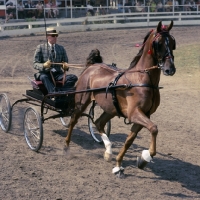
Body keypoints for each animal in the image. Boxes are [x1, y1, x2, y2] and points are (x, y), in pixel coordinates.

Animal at [65, 20, 175, 178]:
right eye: (159, 43)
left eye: (172, 43)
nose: (170, 69)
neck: (141, 79)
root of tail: (92, 66)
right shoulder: (134, 113)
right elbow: (154, 129)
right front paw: (146, 156)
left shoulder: (144, 115)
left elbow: (129, 140)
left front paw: (125, 163)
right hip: (82, 101)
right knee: (74, 120)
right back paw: (67, 147)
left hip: (111, 109)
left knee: (99, 122)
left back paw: (108, 151)